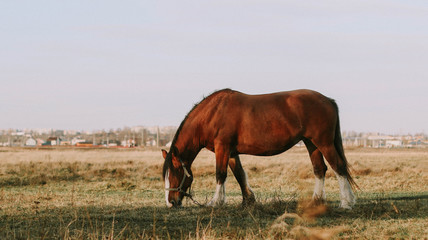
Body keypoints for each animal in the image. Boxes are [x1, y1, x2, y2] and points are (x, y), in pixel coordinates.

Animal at [162, 89, 356, 209]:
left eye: (175, 172)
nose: (171, 202)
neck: (213, 114)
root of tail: (328, 100)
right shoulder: (231, 153)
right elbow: (239, 174)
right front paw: (248, 200)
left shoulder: (222, 148)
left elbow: (220, 174)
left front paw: (215, 202)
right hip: (311, 144)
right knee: (319, 169)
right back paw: (316, 201)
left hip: (324, 143)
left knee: (338, 167)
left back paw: (346, 203)